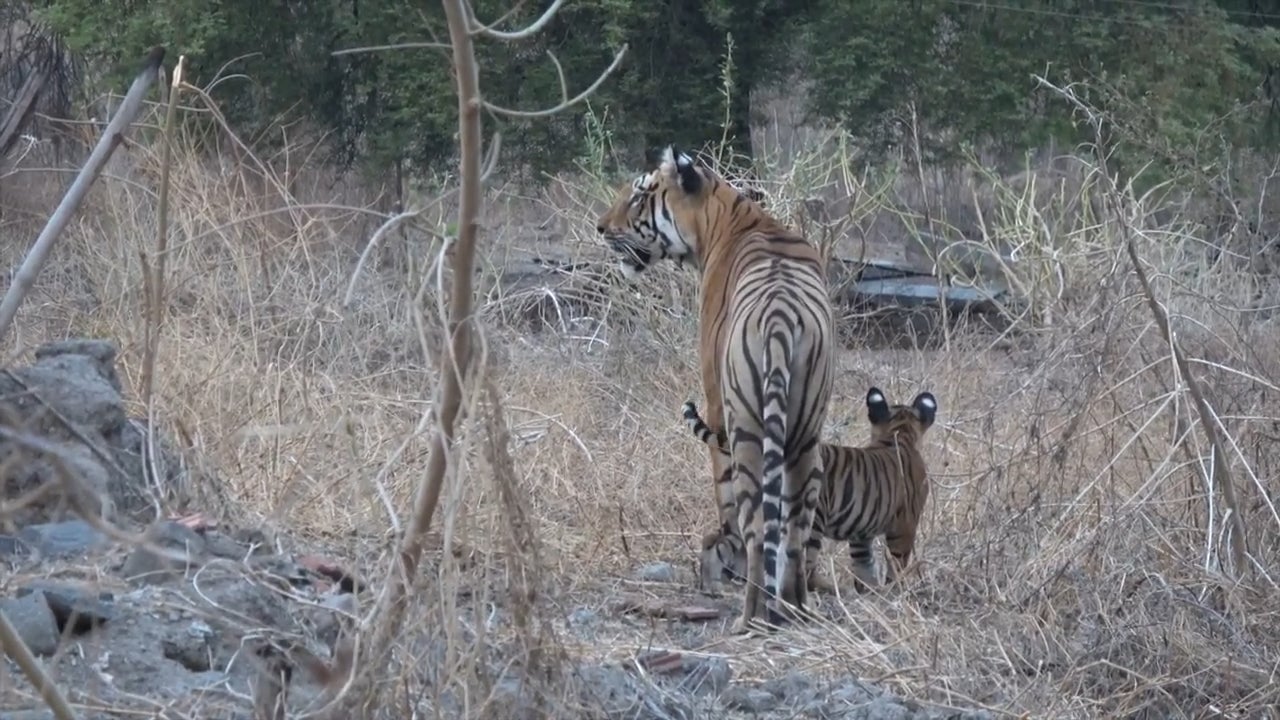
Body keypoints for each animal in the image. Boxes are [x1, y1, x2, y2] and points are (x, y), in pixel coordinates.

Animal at [595, 146, 835, 631]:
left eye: (638, 196)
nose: (600, 228)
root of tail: (781, 315)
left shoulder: (713, 398)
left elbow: (721, 489)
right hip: (806, 433)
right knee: (796, 527)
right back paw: (794, 609)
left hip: (746, 426)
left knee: (757, 524)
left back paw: (752, 615)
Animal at [683, 385, 938, 593]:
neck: (899, 434)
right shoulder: (904, 525)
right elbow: (897, 563)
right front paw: (894, 591)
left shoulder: (861, 533)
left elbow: (864, 564)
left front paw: (871, 591)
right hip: (812, 517)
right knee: (803, 565)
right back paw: (826, 589)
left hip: (748, 509)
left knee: (714, 540)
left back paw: (711, 585)